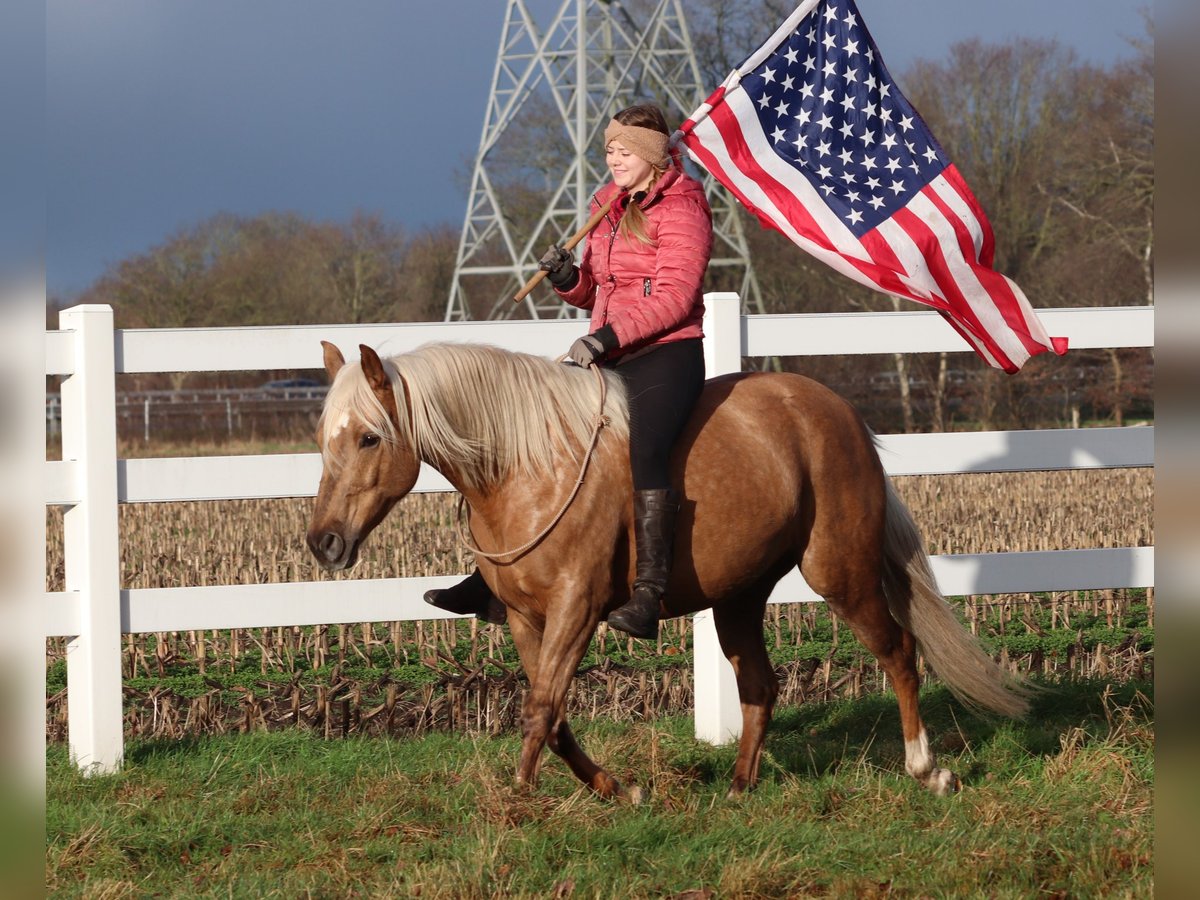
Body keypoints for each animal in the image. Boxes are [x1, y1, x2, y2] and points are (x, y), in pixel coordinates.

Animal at [304, 343, 1027, 801]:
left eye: (369, 437)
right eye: (323, 438)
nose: (324, 543)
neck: (525, 467)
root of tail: (840, 413)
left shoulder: (576, 607)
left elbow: (541, 708)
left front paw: (515, 802)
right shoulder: (525, 619)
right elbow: (553, 713)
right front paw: (617, 789)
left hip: (840, 572)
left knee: (900, 651)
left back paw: (928, 769)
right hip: (738, 598)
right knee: (760, 685)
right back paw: (739, 788)